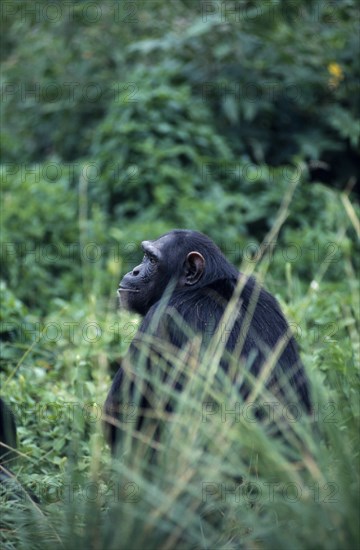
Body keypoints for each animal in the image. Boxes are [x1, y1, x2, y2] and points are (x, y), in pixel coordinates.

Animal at [103, 231, 310, 454]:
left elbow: (119, 413)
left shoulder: (160, 319)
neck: (206, 286)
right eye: (145, 255)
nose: (135, 271)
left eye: (152, 260)